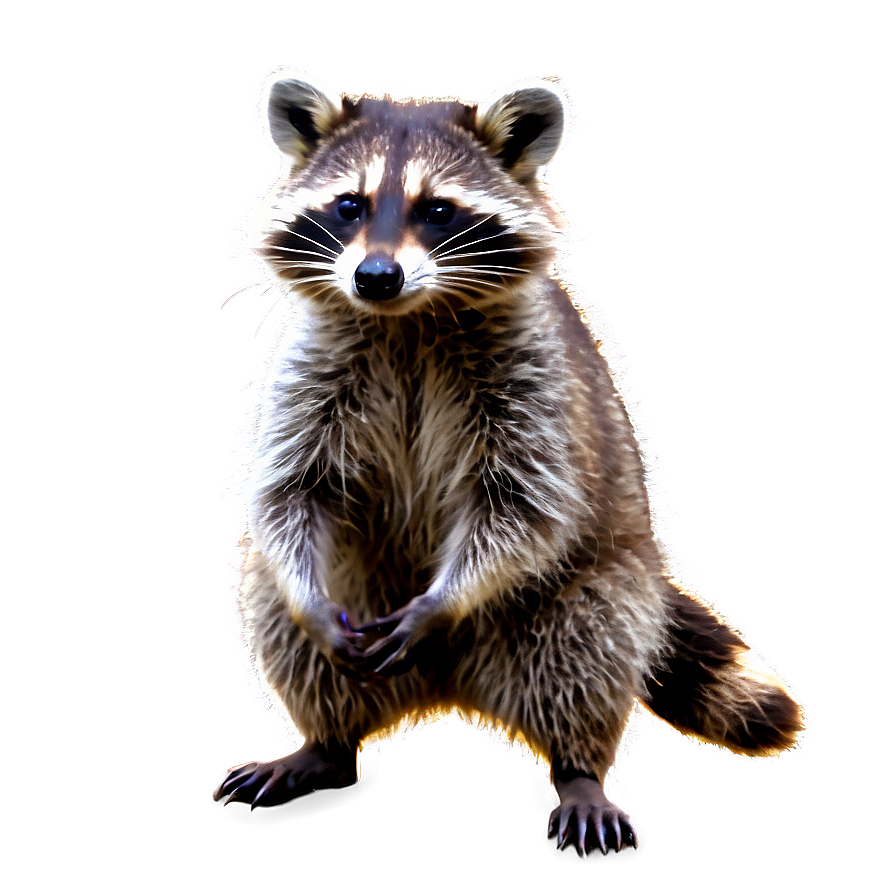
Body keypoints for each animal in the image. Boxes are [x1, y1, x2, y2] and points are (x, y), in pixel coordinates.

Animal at [215, 67, 807, 856]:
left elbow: (523, 504)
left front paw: (442, 602)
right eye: (349, 206)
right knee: (272, 604)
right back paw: (326, 745)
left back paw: (578, 769)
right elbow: (291, 491)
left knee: (588, 645)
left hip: (594, 587)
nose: (375, 276)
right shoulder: (312, 370)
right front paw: (308, 601)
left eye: (438, 210)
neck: (406, 320)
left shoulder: (534, 379)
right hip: (355, 589)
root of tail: (446, 689)